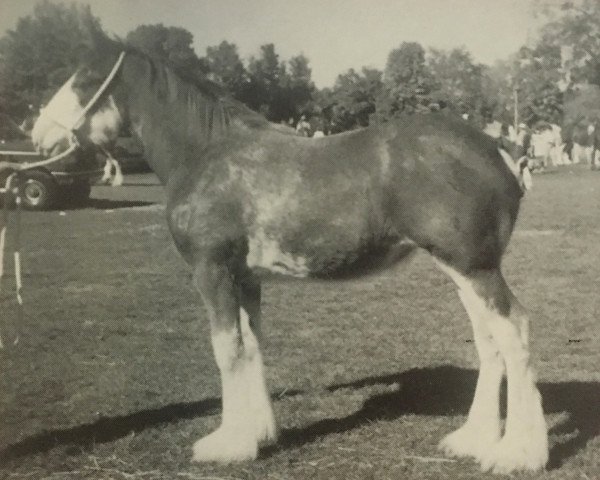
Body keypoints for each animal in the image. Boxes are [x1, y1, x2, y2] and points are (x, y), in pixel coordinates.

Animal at [31, 35, 548, 474]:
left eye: (83, 80)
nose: (37, 135)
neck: (206, 154)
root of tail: (497, 147)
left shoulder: (212, 272)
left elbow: (227, 350)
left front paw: (228, 444)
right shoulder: (246, 278)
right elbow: (252, 345)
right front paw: (259, 434)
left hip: (475, 268)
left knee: (515, 330)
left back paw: (518, 454)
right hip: (462, 271)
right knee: (489, 340)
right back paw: (475, 439)